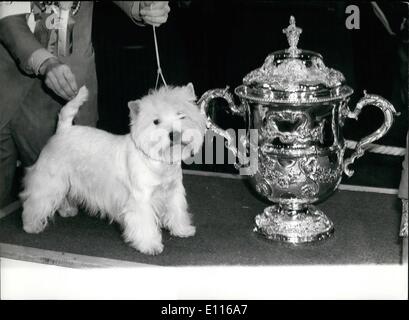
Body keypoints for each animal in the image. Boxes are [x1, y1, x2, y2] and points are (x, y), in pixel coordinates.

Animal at [20, 83, 206, 255]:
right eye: (156, 121)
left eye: (181, 115)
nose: (175, 134)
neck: (159, 162)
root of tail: (63, 130)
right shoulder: (141, 199)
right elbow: (144, 222)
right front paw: (150, 245)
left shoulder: (174, 191)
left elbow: (177, 210)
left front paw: (183, 229)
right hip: (50, 179)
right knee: (36, 201)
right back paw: (31, 225)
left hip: (66, 181)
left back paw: (67, 210)